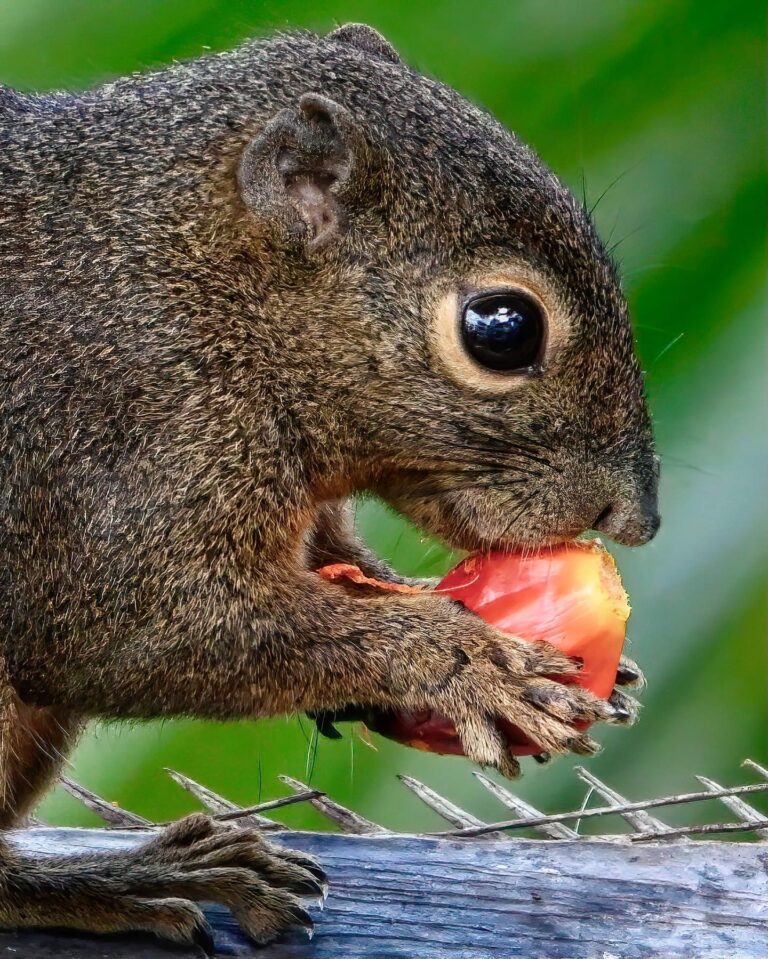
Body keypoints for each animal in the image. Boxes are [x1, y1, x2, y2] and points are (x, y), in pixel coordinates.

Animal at [0, 22, 659, 951]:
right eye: (503, 328)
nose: (636, 516)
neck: (204, 287)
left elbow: (334, 565)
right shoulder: (113, 435)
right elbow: (132, 633)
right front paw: (467, 663)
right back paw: (125, 879)